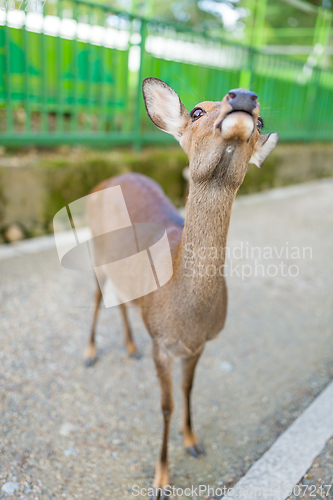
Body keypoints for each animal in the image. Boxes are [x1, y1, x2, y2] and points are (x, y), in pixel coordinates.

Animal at [82, 76, 278, 498]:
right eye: (198, 111)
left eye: (260, 121)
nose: (243, 96)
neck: (186, 317)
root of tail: (108, 178)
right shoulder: (162, 340)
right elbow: (166, 405)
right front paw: (160, 479)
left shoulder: (200, 344)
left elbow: (189, 391)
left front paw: (193, 442)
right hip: (95, 246)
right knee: (96, 293)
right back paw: (90, 352)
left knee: (120, 297)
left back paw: (129, 346)